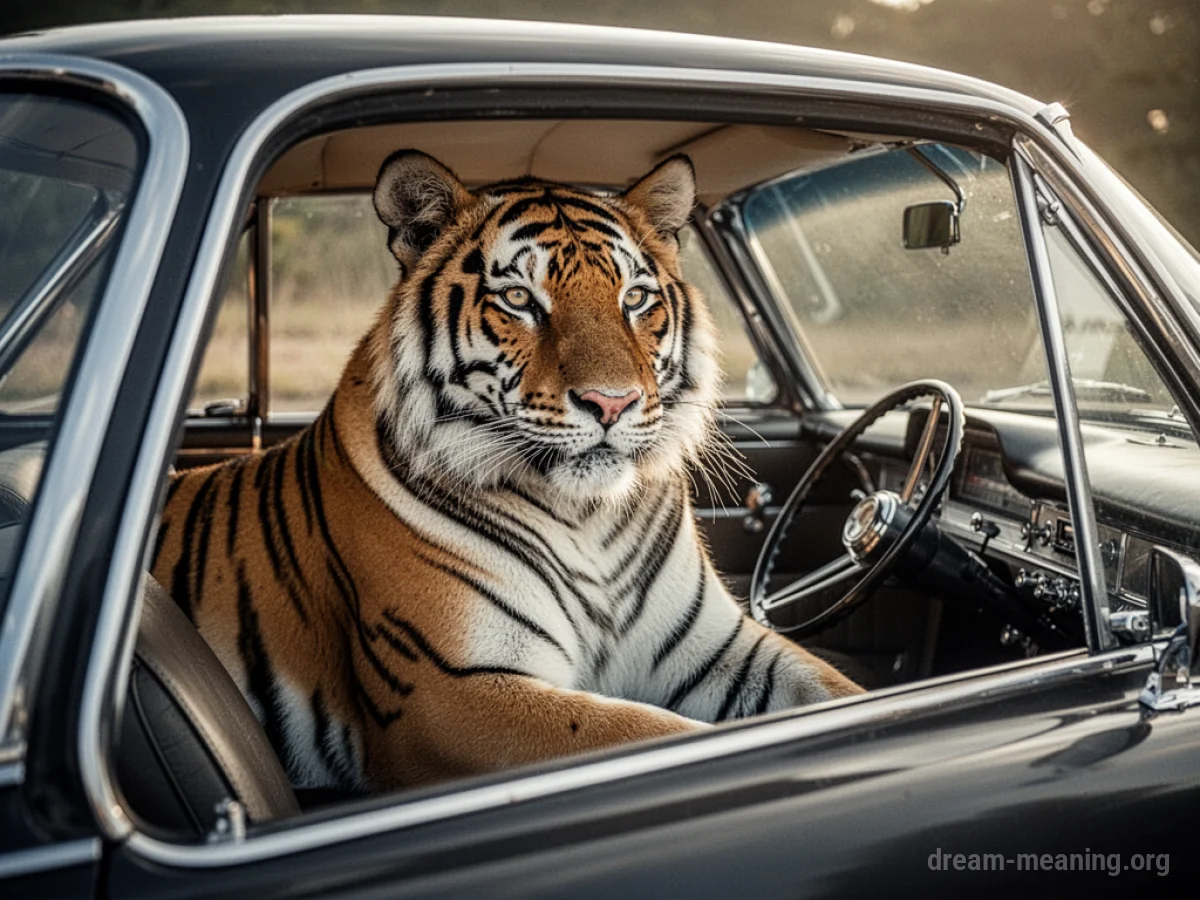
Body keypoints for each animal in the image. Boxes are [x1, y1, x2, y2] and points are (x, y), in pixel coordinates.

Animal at [152, 149, 863, 793]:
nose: (613, 402)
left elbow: (836, 691)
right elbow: (648, 732)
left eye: (635, 297)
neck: (589, 517)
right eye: (520, 298)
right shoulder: (448, 693)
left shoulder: (722, 647)